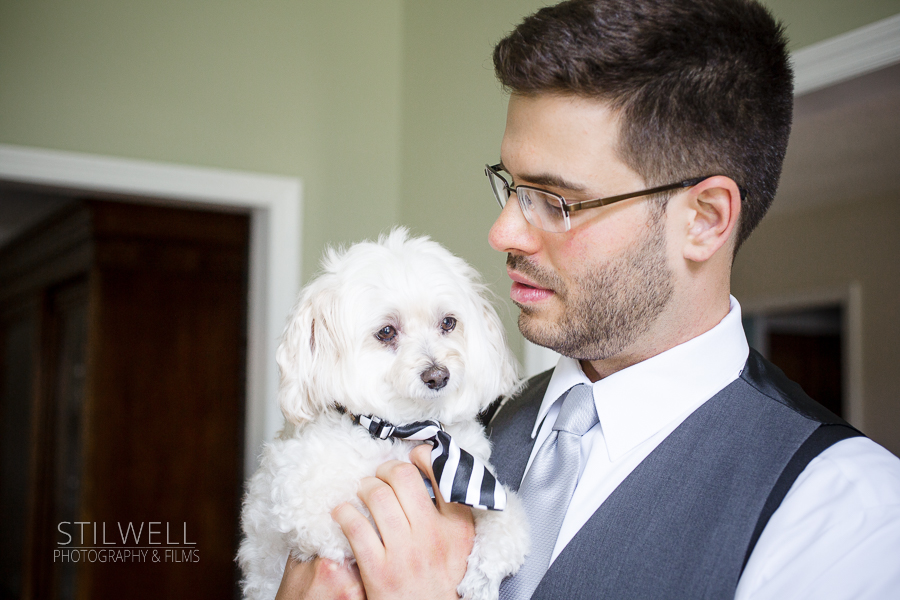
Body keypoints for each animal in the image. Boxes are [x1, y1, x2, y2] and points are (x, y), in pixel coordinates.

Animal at [243, 230, 532, 600]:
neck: (404, 429)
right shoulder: (308, 506)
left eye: (448, 323)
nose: (437, 376)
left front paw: (483, 576)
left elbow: (505, 517)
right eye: (386, 332)